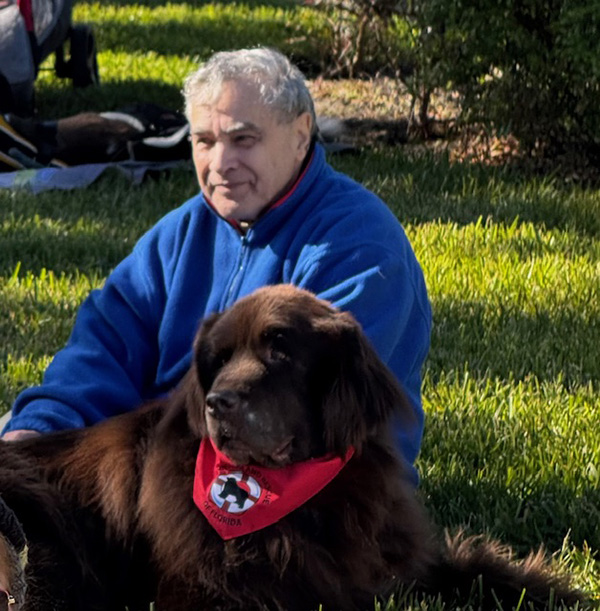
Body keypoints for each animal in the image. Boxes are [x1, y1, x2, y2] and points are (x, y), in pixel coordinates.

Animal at [0, 286, 584, 611]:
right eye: (216, 359)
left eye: (280, 350)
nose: (217, 403)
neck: (297, 500)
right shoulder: (210, 592)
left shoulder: (386, 560)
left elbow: (471, 566)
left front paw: (553, 590)